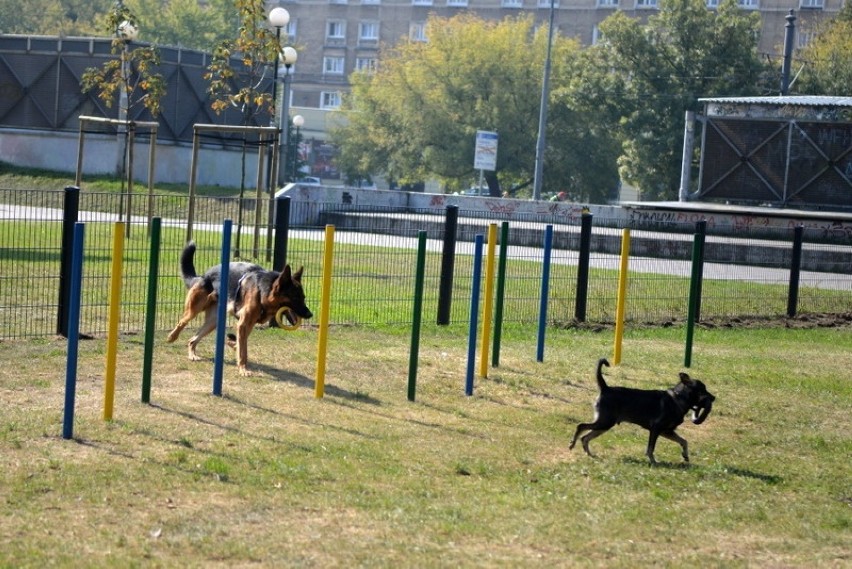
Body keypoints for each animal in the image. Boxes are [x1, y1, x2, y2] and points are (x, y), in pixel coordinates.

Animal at [166, 242, 312, 374]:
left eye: (303, 297)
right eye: (295, 298)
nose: (310, 314)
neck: (262, 290)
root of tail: (203, 276)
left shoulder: (249, 324)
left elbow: (241, 343)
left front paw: (232, 343)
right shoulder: (243, 324)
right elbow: (243, 351)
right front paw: (243, 369)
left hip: (213, 322)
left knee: (192, 340)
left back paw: (192, 355)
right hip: (194, 310)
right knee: (182, 322)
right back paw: (171, 337)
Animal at [568, 358, 716, 464]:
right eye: (702, 389)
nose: (714, 398)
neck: (678, 398)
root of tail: (605, 388)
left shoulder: (667, 431)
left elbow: (684, 441)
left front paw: (685, 456)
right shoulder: (656, 429)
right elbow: (650, 448)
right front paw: (653, 461)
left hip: (604, 425)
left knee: (585, 437)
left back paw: (589, 453)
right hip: (605, 422)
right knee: (581, 426)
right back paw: (572, 444)